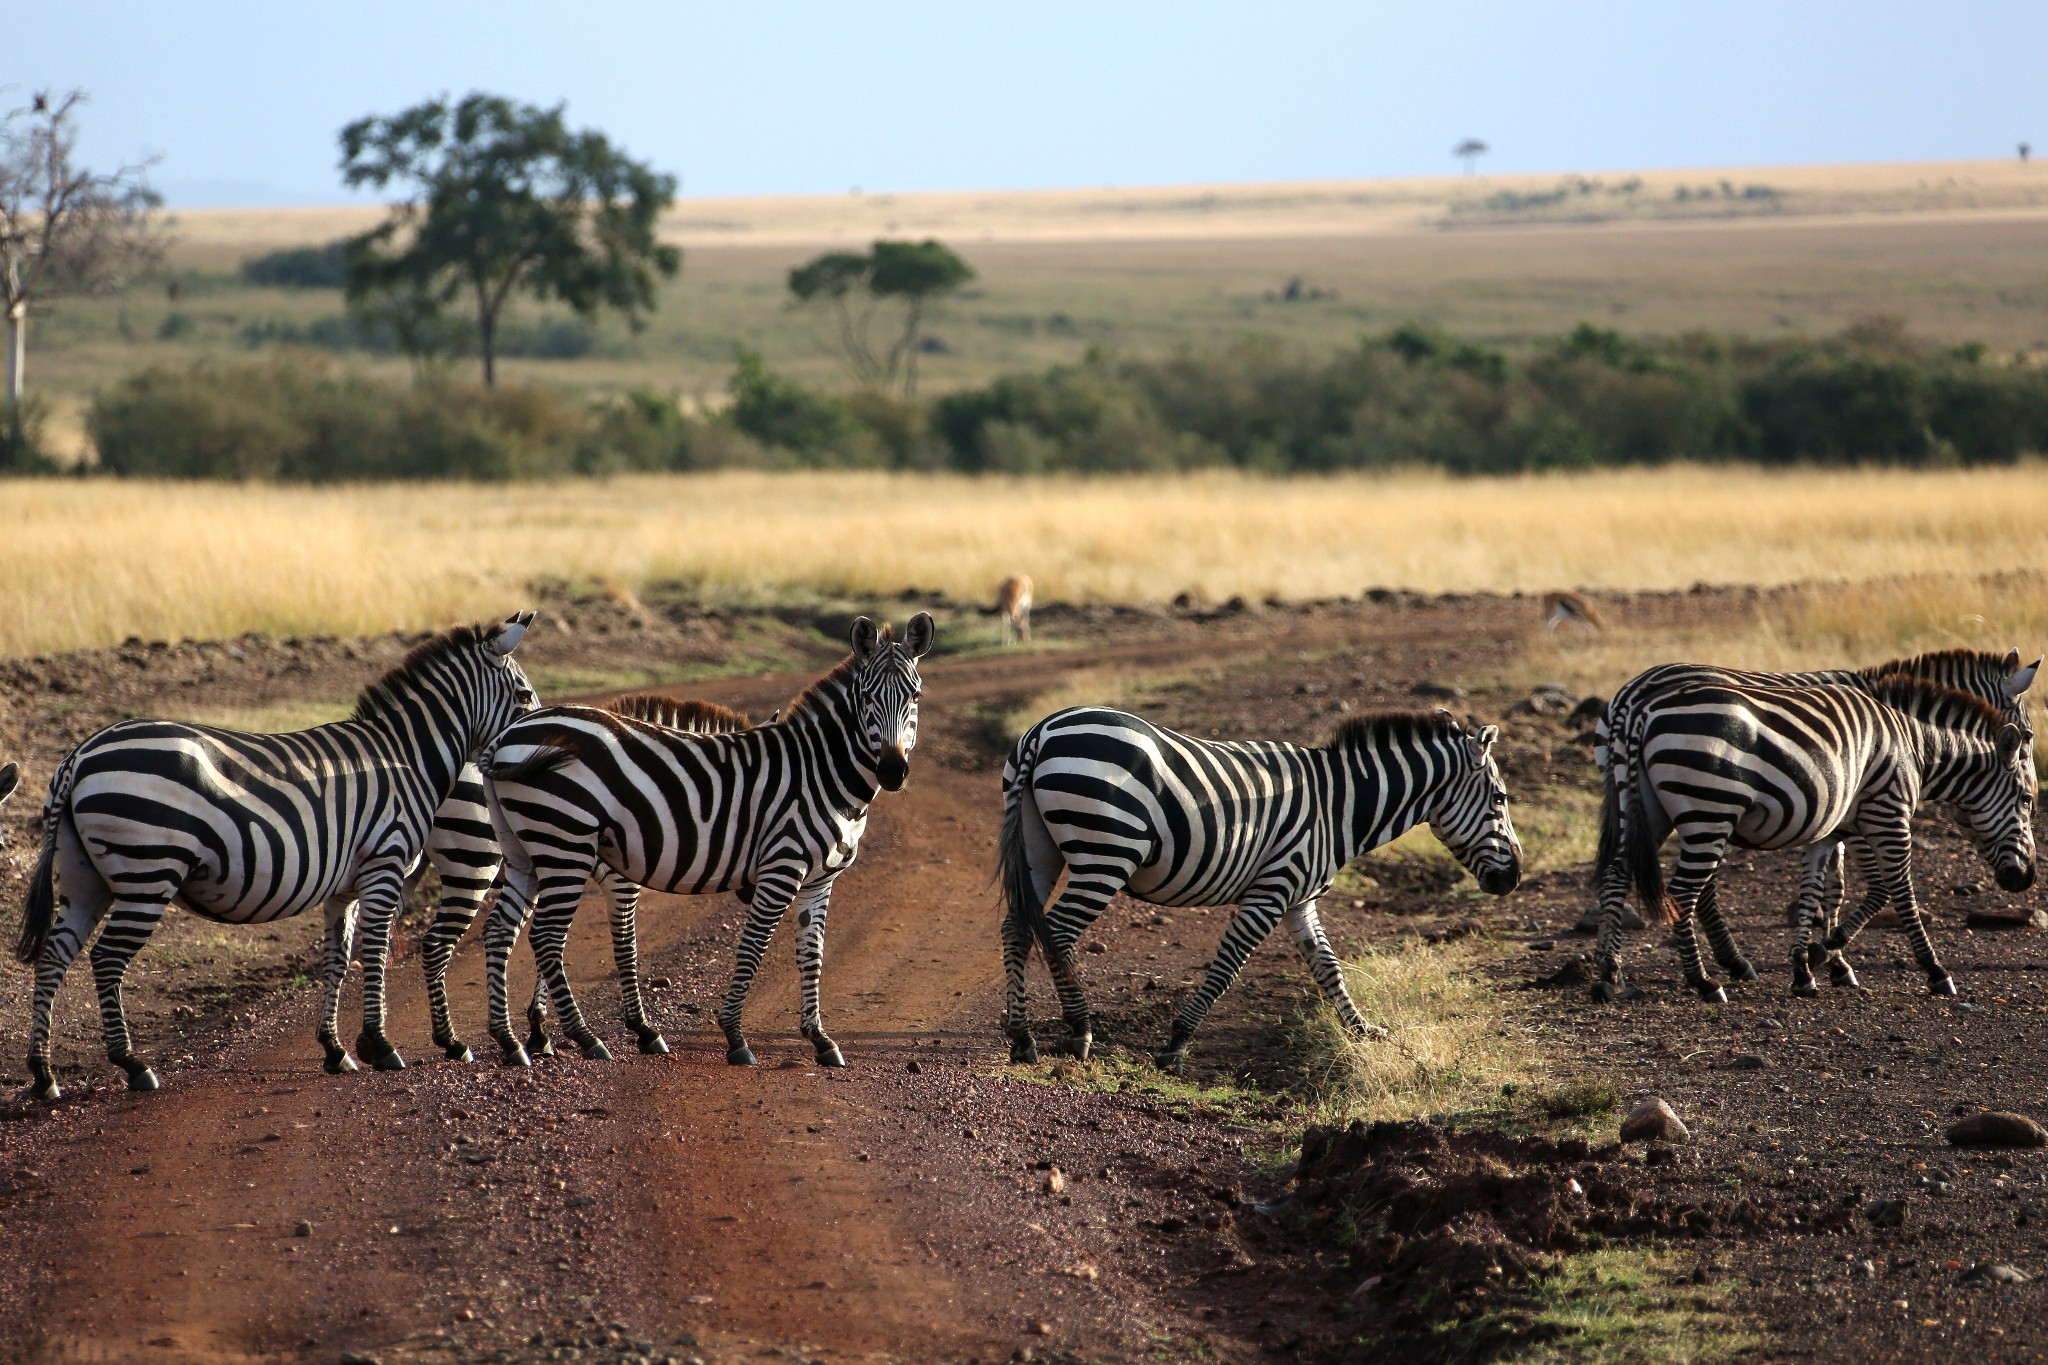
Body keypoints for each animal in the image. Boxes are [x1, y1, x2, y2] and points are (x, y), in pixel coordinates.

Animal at [14, 618, 536, 1096]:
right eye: (526, 695)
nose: (540, 751)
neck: (407, 757)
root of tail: (79, 755)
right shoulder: (384, 865)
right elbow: (375, 952)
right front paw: (381, 1045)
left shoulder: (346, 887)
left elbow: (337, 960)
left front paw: (336, 1050)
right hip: (148, 871)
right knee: (106, 958)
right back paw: (132, 1065)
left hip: (85, 877)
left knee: (55, 955)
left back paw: (43, 1075)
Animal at [475, 613, 933, 1072]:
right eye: (867, 698)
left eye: (914, 696)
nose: (893, 771)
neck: (820, 772)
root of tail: (508, 735)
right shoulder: (782, 867)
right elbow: (751, 949)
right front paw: (734, 1037)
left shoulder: (821, 879)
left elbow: (812, 955)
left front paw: (820, 1039)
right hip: (564, 842)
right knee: (546, 936)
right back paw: (586, 1038)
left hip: (525, 851)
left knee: (500, 930)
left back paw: (510, 1041)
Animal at [999, 712, 1531, 1072]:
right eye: (1501, 798)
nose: (1514, 878)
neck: (1337, 806)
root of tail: (1043, 729)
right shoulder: (1274, 888)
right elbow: (1228, 965)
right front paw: (1176, 1045)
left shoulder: (1300, 898)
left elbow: (1328, 966)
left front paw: (1363, 1031)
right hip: (1106, 852)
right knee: (1058, 932)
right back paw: (1079, 1031)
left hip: (1039, 847)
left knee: (1016, 927)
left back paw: (1022, 1039)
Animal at [1581, 646, 2031, 998]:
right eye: (2028, 735)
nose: (2025, 880)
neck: (1911, 737)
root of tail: (1633, 702)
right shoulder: (1879, 813)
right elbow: (1886, 888)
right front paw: (1923, 969)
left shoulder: (1833, 820)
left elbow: (1827, 888)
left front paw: (1820, 964)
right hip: (1708, 808)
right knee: (1687, 890)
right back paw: (1710, 978)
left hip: (1641, 803)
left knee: (1621, 872)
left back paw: (1611, 972)